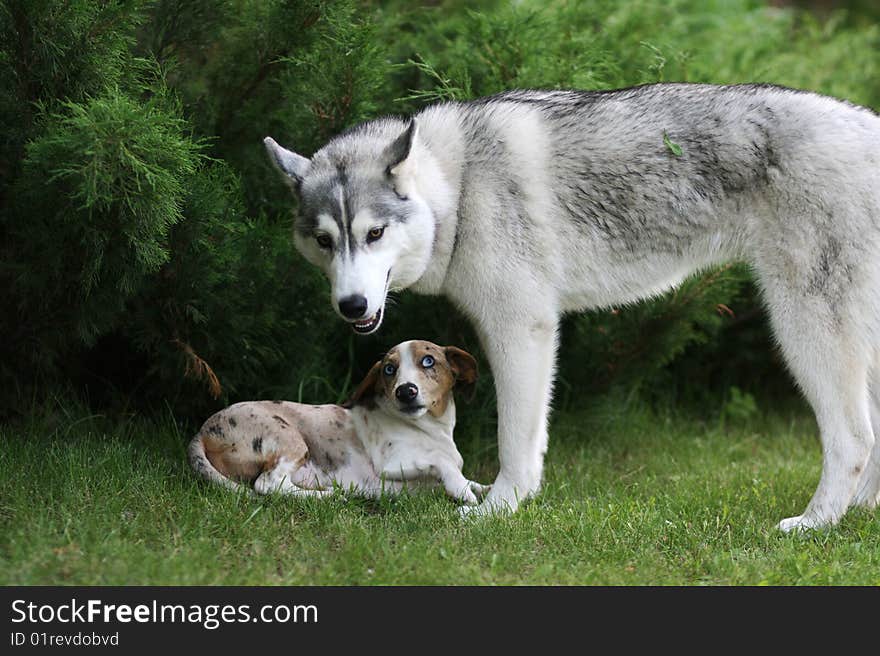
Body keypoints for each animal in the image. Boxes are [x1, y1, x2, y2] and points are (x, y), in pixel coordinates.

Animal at [187, 340, 488, 504]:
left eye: (428, 361)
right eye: (389, 369)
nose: (405, 392)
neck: (429, 430)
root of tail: (202, 432)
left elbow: (470, 479)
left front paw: (483, 488)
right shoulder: (390, 465)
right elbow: (442, 463)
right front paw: (462, 491)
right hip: (289, 439)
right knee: (268, 485)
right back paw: (328, 495)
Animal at [264, 83, 880, 532]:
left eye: (374, 233)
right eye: (324, 241)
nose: (351, 306)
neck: (458, 186)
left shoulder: (521, 331)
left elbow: (516, 443)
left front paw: (501, 509)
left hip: (805, 335)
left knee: (854, 438)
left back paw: (817, 523)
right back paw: (862, 510)